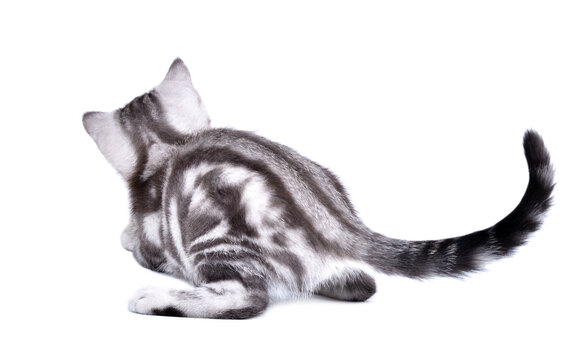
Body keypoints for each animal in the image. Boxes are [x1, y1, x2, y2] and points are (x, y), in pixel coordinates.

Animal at [84, 59, 556, 320]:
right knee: (362, 284)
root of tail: (336, 220)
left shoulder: (155, 237)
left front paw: (126, 236)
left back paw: (156, 298)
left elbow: (140, 241)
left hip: (214, 238)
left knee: (246, 300)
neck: (170, 143)